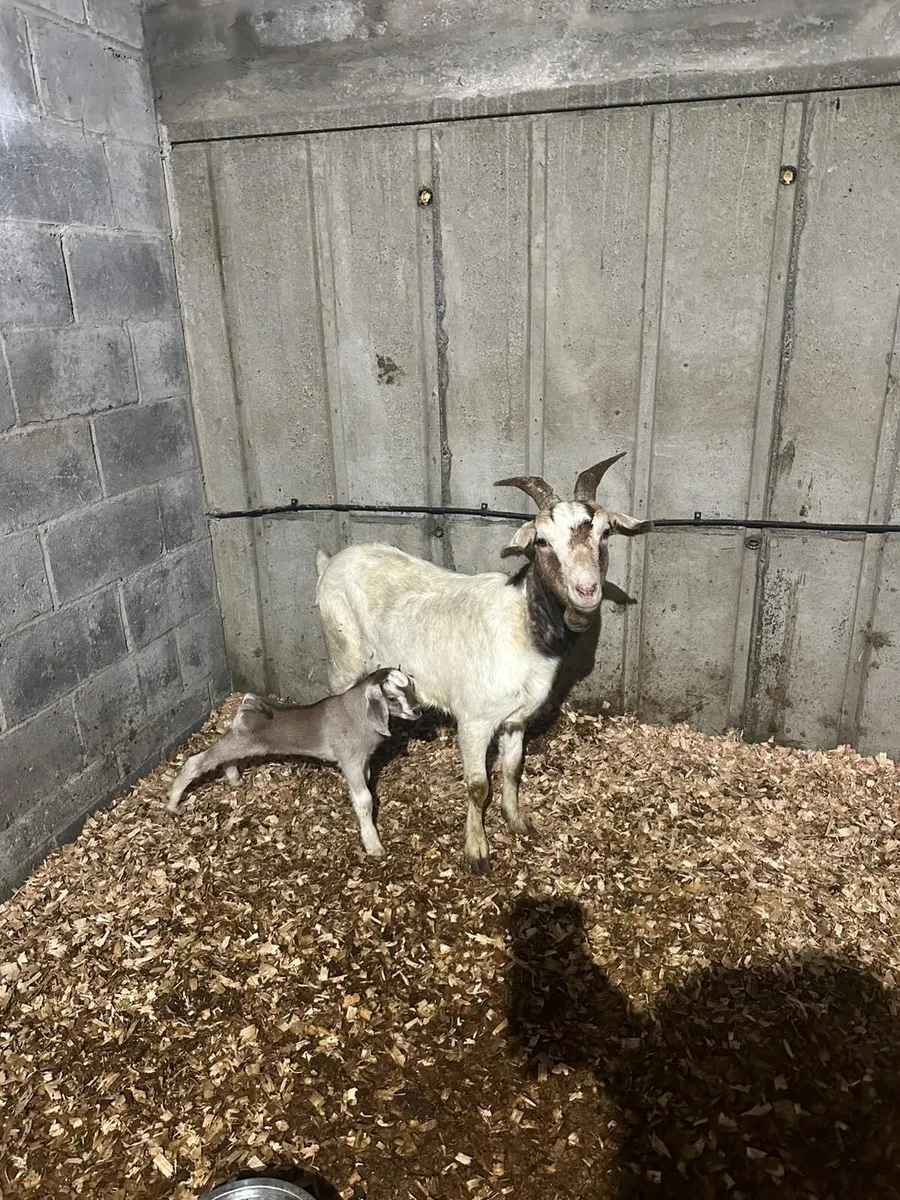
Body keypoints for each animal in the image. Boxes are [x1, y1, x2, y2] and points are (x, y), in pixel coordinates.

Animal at [166, 667, 421, 857]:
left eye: (411, 687)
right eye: (391, 698)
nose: (418, 711)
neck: (356, 715)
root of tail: (248, 706)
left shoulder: (363, 760)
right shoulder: (349, 760)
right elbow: (364, 799)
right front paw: (373, 845)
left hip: (243, 742)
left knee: (227, 759)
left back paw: (234, 779)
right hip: (238, 741)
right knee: (196, 761)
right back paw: (172, 803)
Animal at [315, 453, 652, 874]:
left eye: (605, 534)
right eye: (542, 541)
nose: (586, 591)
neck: (522, 627)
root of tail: (330, 562)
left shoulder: (515, 718)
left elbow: (512, 769)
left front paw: (518, 821)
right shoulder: (474, 721)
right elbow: (477, 787)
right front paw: (477, 850)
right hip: (342, 652)